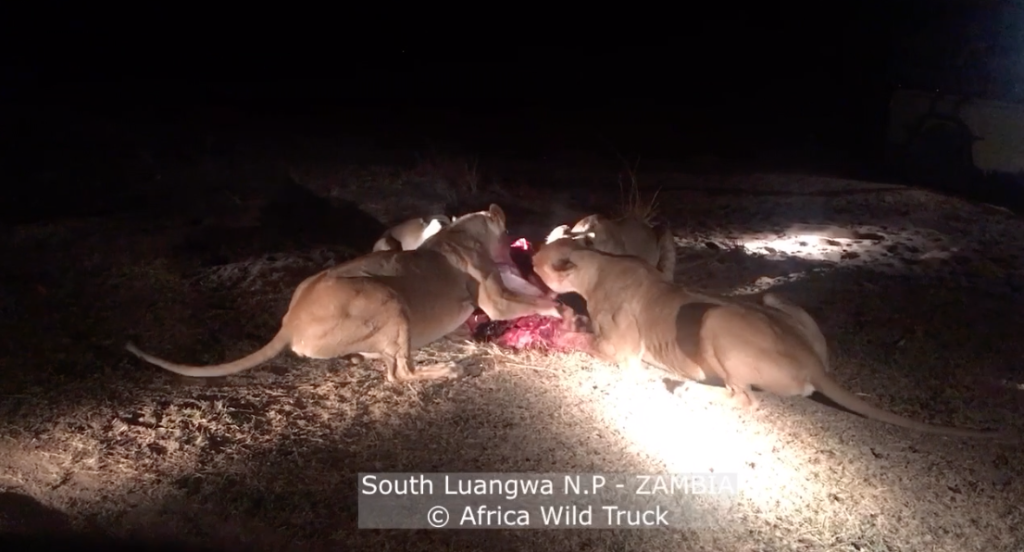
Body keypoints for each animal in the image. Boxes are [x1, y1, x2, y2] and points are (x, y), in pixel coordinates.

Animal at [128, 204, 565, 383]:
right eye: (508, 235)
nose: (520, 251)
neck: (461, 234)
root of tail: (290, 323)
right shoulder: (495, 299)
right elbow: (533, 302)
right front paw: (559, 308)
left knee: (386, 362)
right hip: (389, 300)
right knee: (399, 374)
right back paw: (446, 370)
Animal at [532, 237, 1011, 440]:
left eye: (537, 259)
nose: (530, 256)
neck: (599, 262)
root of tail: (811, 359)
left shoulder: (623, 349)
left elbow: (591, 341)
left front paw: (565, 330)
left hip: (715, 319)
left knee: (745, 398)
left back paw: (688, 389)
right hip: (773, 298)